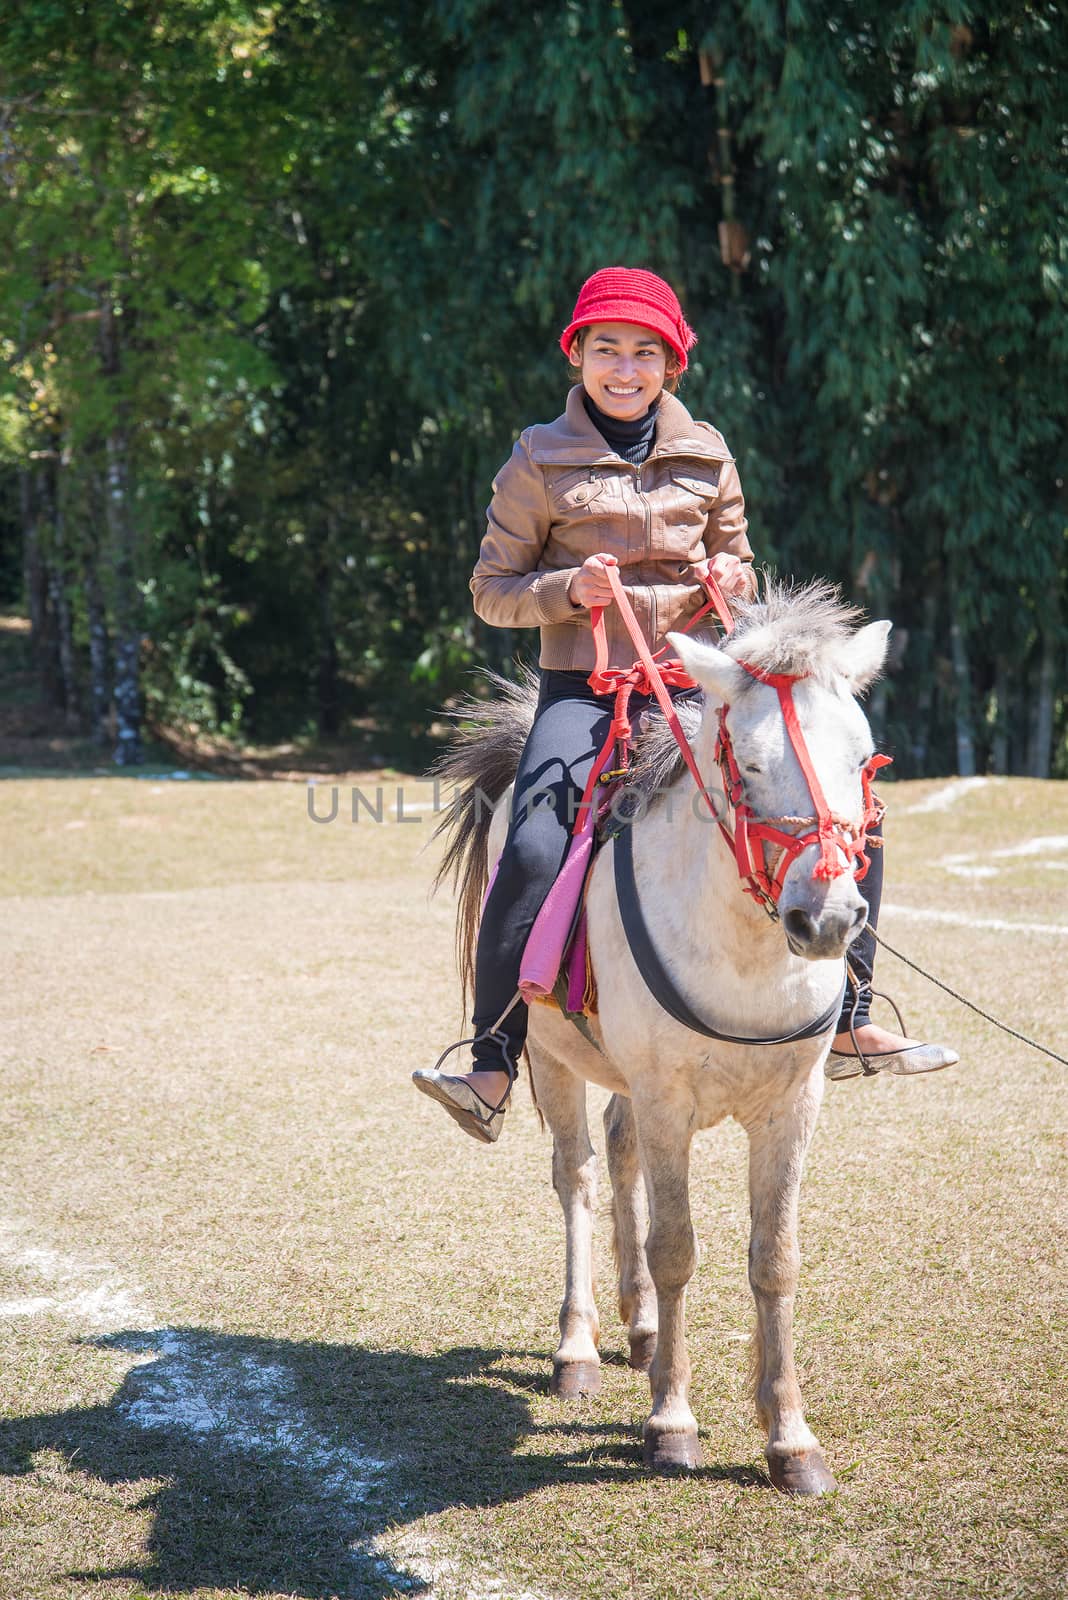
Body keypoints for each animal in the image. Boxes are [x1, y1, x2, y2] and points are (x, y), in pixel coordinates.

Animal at [434, 582, 895, 1491]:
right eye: (747, 765)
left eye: (863, 760)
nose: (826, 919)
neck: (746, 953)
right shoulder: (667, 1098)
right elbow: (677, 1247)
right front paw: (671, 1423)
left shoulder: (792, 1105)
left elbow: (774, 1256)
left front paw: (791, 1438)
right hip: (554, 1057)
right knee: (577, 1176)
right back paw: (578, 1347)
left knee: (619, 1157)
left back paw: (640, 1327)